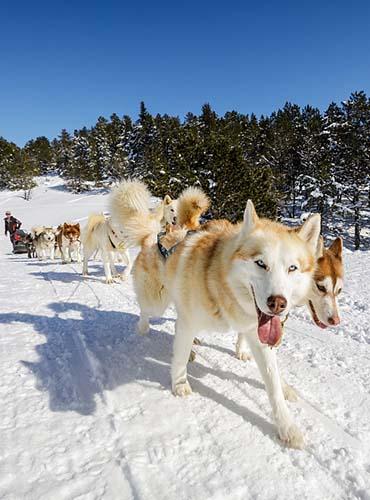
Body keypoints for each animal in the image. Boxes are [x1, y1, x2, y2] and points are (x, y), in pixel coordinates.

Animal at [116, 188, 320, 450]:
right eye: (260, 263)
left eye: (292, 268)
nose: (278, 303)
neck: (222, 287)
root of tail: (153, 238)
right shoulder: (189, 321)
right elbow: (179, 359)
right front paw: (179, 385)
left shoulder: (258, 335)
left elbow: (273, 384)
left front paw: (287, 426)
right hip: (157, 302)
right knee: (147, 312)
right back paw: (143, 329)